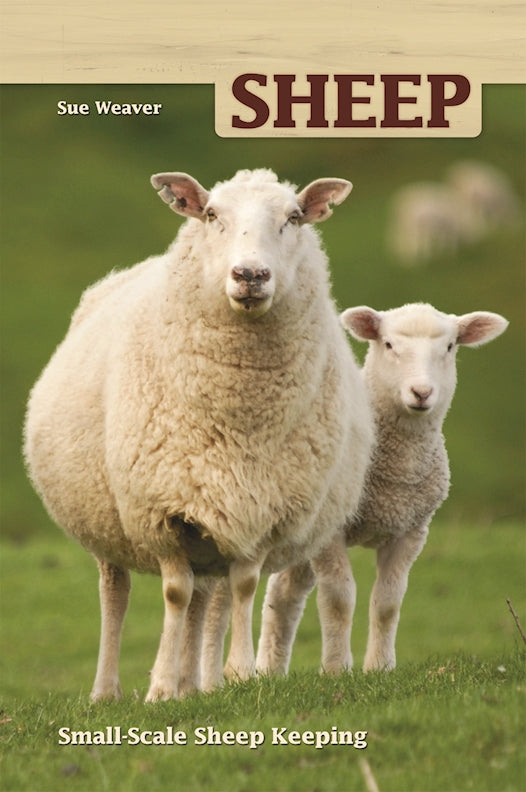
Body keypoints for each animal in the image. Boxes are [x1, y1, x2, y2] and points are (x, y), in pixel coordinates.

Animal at [23, 167, 374, 702]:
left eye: (294, 217)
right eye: (211, 215)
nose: (250, 275)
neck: (239, 419)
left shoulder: (258, 510)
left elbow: (242, 588)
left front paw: (238, 674)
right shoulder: (161, 511)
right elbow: (173, 593)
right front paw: (160, 688)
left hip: (210, 530)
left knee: (204, 599)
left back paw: (194, 686)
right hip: (109, 521)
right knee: (117, 595)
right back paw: (108, 690)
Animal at [255, 302, 508, 676]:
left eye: (449, 347)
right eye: (388, 344)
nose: (421, 393)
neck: (395, 473)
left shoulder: (411, 531)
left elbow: (388, 602)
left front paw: (380, 667)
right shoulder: (333, 533)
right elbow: (338, 599)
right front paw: (336, 669)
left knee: (282, 594)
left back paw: (268, 672)